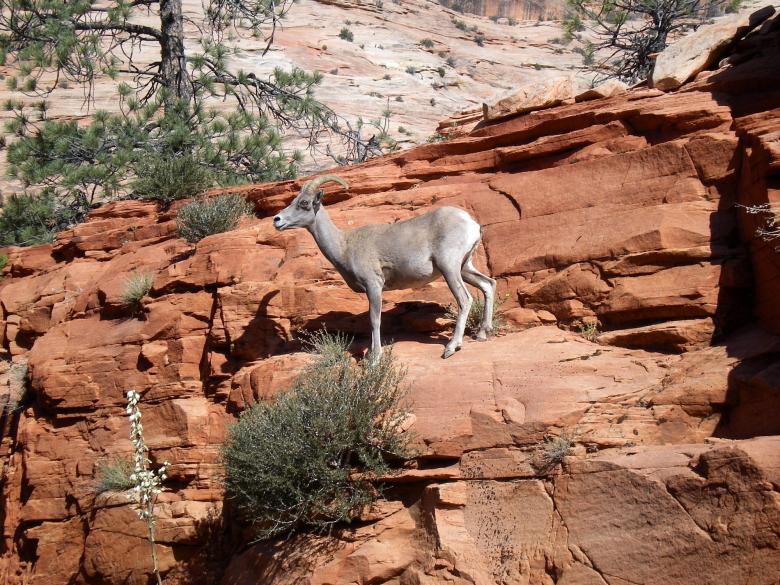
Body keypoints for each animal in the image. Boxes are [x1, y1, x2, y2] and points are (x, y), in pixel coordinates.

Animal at [273, 175, 497, 359]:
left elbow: (374, 320)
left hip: (449, 268)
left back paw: (451, 348)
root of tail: (471, 223)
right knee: (488, 284)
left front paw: (374, 359)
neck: (345, 245)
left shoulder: (374, 286)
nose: (277, 220)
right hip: (464, 268)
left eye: (304, 203)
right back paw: (482, 334)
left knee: (465, 300)